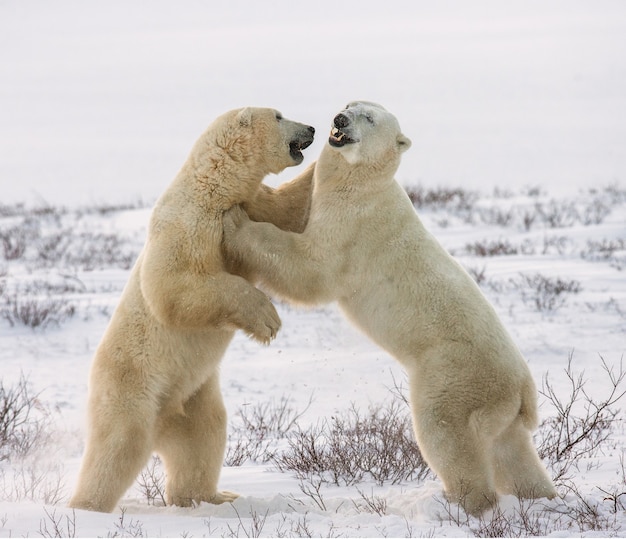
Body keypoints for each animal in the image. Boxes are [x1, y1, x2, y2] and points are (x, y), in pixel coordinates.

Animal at [69, 106, 314, 516]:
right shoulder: (188, 222)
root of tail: (162, 421)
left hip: (194, 396)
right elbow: (174, 287)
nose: (311, 128)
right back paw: (87, 507)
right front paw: (267, 319)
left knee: (203, 437)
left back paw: (210, 497)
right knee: (117, 446)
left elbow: (288, 211)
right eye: (279, 115)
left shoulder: (253, 201)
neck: (214, 187)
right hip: (131, 386)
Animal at [222, 100, 552, 516]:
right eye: (349, 104)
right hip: (498, 407)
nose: (339, 120)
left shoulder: (353, 226)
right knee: (512, 450)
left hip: (452, 376)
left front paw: (235, 220)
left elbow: (311, 268)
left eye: (370, 118)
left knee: (446, 434)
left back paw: (464, 503)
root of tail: (522, 390)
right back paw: (541, 496)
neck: (366, 183)